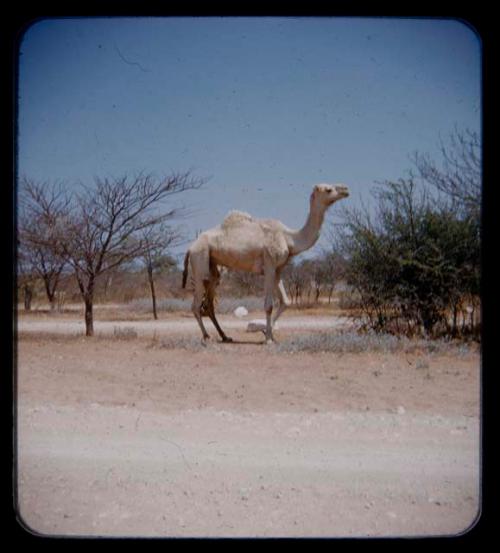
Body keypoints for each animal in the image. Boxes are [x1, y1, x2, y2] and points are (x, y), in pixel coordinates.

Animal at [182, 183, 350, 342]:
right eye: (328, 189)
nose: (346, 190)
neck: (289, 238)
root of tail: (190, 248)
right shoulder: (269, 265)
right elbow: (269, 305)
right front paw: (268, 337)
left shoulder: (278, 268)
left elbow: (286, 302)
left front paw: (268, 334)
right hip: (200, 258)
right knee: (196, 304)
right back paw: (206, 336)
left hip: (213, 267)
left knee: (208, 303)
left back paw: (225, 336)